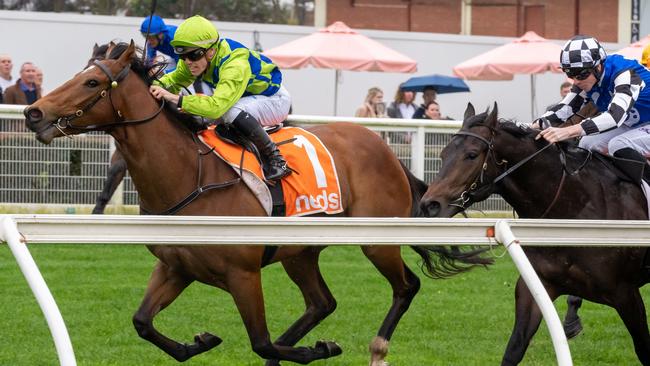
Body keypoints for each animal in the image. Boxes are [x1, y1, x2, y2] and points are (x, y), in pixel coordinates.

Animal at [20, 41, 488, 364]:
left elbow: (261, 340)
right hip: (300, 252)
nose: (33, 112)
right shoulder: (175, 267)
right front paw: (200, 341)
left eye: (92, 82)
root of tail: (385, 149)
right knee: (322, 302)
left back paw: (375, 347)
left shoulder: (243, 274)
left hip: (376, 240)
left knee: (405, 286)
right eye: (78, 74)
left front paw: (320, 349)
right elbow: (142, 322)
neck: (190, 177)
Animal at [418, 101, 648, 364]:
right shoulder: (537, 286)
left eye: (472, 154)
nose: (429, 205)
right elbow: (514, 348)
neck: (576, 206)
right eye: (443, 153)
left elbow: (644, 348)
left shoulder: (626, 293)